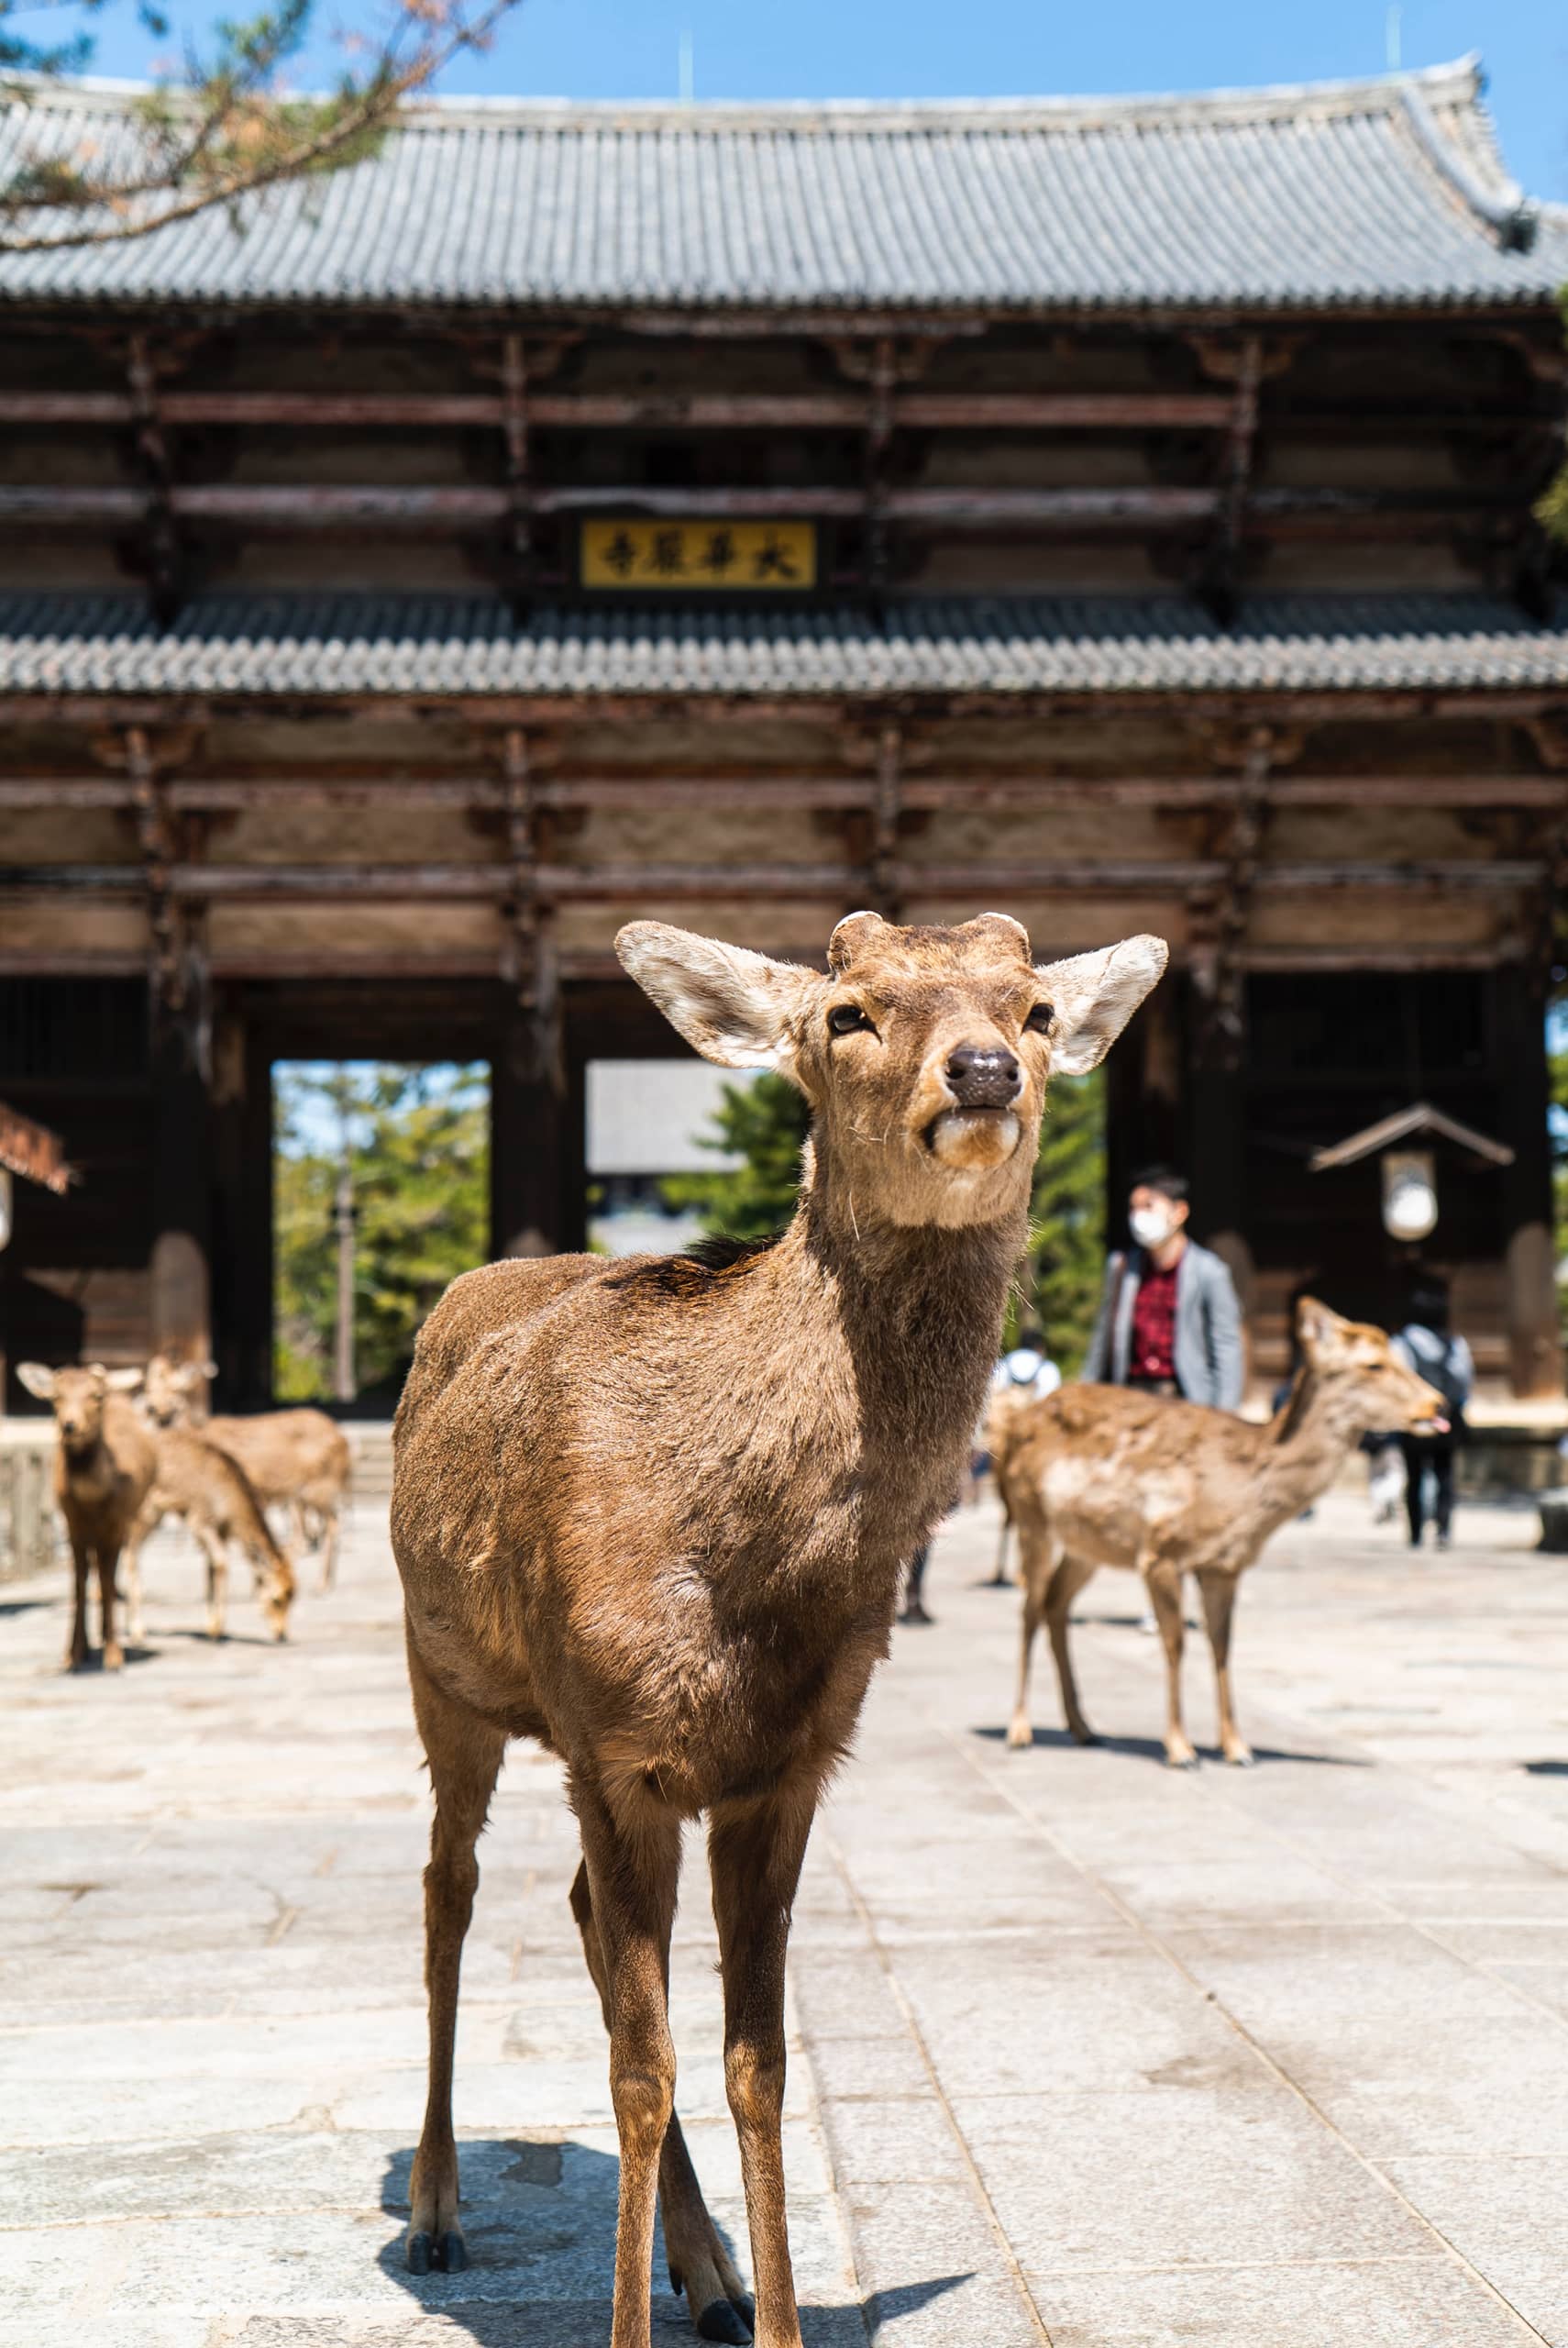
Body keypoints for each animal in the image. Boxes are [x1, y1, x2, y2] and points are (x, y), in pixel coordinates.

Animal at [389, 911, 1164, 2348]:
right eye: (848, 1014)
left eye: (1034, 1010)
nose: (983, 1072)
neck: (745, 1577)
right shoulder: (614, 1748)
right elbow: (639, 2074)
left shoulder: (790, 1767)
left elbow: (758, 2061)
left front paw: (775, 2310)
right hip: (444, 1679)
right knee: (447, 1891)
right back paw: (435, 2209)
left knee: (571, 1908)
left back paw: (706, 2274)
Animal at [1004, 1296, 1445, 1766]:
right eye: (1373, 1364)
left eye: (1401, 1357)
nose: (1437, 1405)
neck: (1238, 1500)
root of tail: (1018, 1422)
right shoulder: (1160, 1552)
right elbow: (1176, 1643)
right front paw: (1181, 1748)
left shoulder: (1224, 1566)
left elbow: (1222, 1645)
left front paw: (1237, 1747)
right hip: (1031, 1516)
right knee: (1030, 1607)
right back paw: (1020, 1729)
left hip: (1086, 1545)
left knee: (1055, 1605)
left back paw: (1083, 1728)